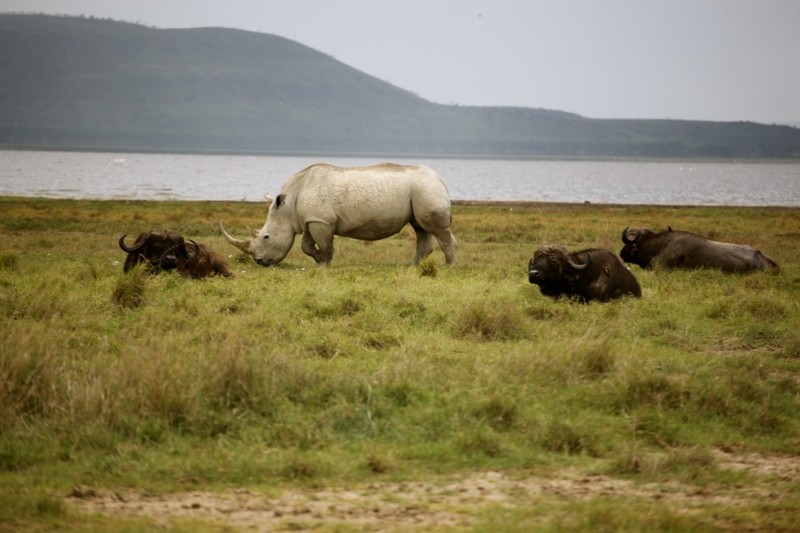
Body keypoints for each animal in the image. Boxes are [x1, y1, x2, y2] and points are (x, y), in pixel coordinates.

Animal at [219, 162, 456, 266]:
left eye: (266, 237)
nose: (259, 262)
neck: (288, 205)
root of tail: (440, 178)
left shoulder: (321, 221)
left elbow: (325, 245)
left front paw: (325, 265)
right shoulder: (310, 219)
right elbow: (306, 245)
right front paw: (318, 261)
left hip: (425, 189)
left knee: (435, 229)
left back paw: (449, 267)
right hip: (420, 190)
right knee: (420, 227)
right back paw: (410, 267)